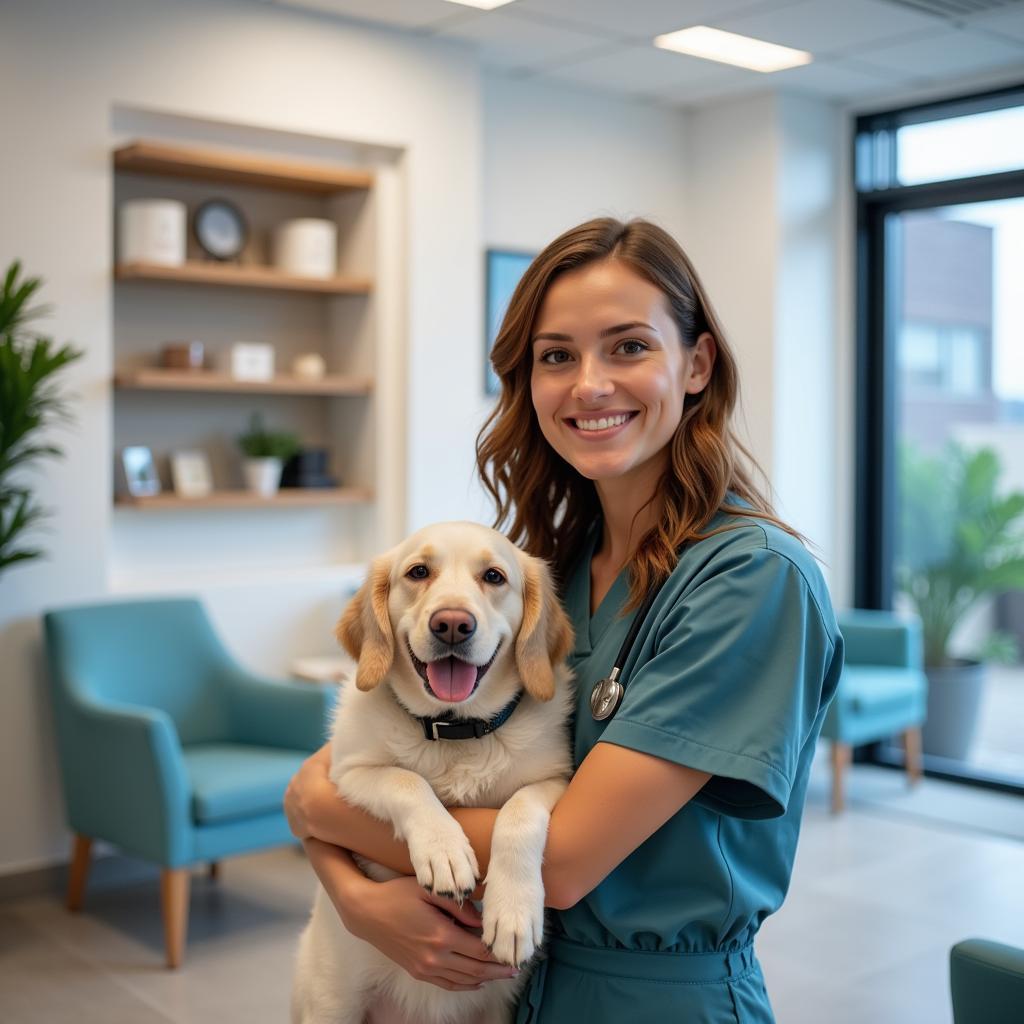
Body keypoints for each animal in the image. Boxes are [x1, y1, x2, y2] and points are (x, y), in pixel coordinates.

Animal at [292, 524, 577, 1019]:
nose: (452, 624)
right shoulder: (348, 774)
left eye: (494, 576)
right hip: (333, 1002)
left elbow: (520, 815)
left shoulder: (555, 778)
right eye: (418, 572)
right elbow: (406, 780)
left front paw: (514, 910)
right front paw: (444, 852)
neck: (455, 731)